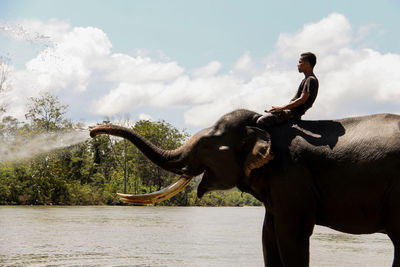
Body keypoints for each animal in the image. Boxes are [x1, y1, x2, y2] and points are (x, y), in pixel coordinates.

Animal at [90, 110, 400, 266]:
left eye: (206, 145)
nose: (92, 131)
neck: (263, 128)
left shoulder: (292, 176)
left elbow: (291, 234)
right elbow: (268, 235)